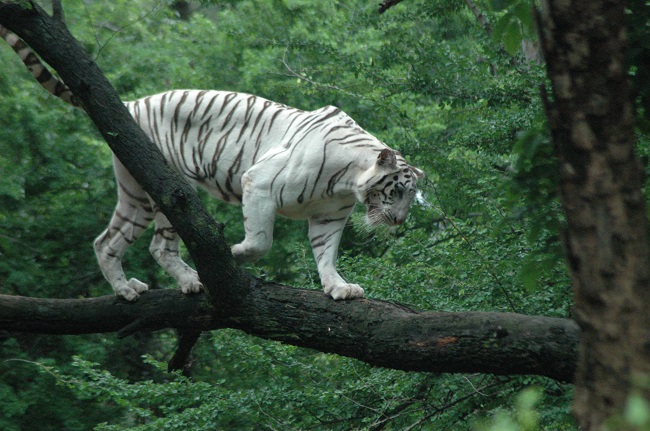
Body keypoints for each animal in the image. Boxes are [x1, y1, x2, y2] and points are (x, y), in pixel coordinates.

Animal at [1, 25, 426, 302]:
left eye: (410, 197)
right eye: (397, 191)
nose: (400, 221)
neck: (346, 181)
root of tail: (132, 104)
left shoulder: (329, 216)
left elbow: (326, 254)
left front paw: (338, 287)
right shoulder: (260, 183)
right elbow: (261, 241)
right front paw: (235, 254)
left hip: (137, 196)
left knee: (108, 241)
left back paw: (129, 289)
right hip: (170, 188)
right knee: (158, 244)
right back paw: (190, 279)